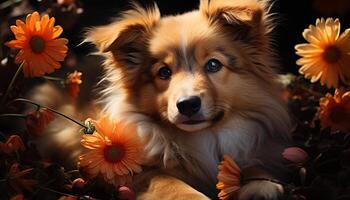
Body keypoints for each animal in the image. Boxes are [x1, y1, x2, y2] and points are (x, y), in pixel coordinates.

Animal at [42, 0, 294, 199]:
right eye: (163, 72)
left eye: (213, 64)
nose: (188, 104)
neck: (203, 138)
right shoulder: (132, 172)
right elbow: (170, 184)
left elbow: (254, 164)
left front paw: (260, 185)